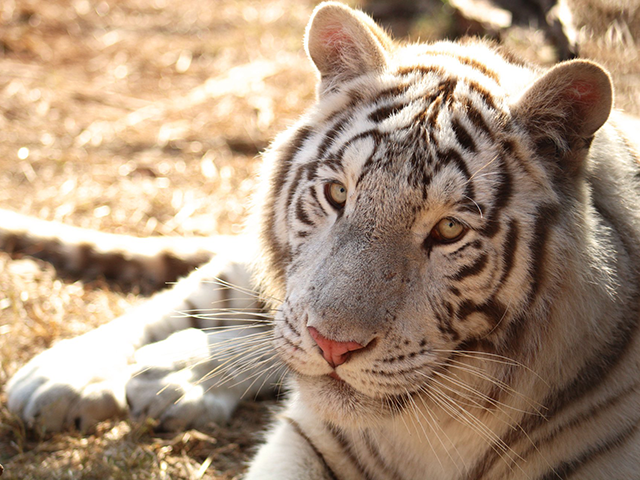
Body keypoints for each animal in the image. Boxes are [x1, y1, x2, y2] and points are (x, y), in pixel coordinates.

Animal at [5, 1, 640, 478]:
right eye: (337, 194)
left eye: (449, 229)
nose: (333, 347)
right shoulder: (308, 440)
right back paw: (65, 377)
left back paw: (173, 374)